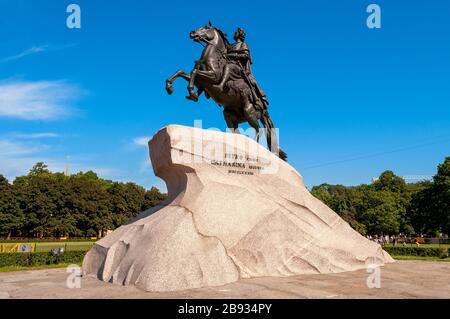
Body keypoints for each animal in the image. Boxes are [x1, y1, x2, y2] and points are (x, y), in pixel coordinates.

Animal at [163, 23, 286, 161]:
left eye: (205, 28)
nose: (192, 33)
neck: (212, 58)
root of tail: (264, 109)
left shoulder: (213, 77)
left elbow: (194, 72)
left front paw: (192, 92)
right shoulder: (200, 81)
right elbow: (181, 72)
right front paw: (170, 87)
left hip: (249, 112)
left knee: (258, 129)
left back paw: (253, 145)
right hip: (230, 115)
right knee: (237, 131)